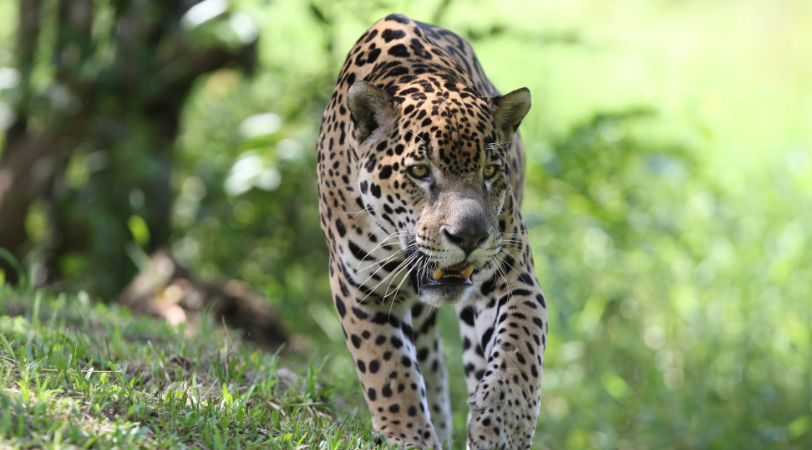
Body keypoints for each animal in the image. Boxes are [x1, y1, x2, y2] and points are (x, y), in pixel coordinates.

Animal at [317, 13, 548, 450]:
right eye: (421, 171)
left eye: (489, 171)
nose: (469, 238)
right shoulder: (359, 288)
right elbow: (388, 370)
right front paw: (407, 435)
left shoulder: (514, 274)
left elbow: (519, 349)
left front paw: (504, 423)